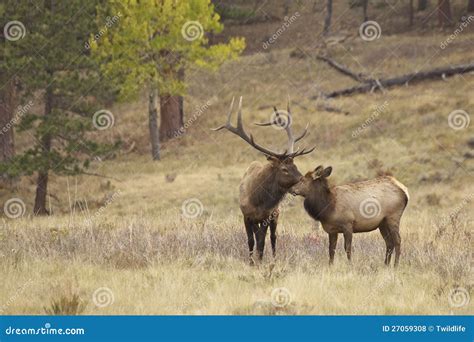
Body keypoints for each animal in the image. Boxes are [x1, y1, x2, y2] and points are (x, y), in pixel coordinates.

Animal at [214, 96, 314, 264]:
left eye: (295, 165)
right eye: (284, 169)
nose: (303, 181)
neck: (257, 200)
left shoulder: (267, 216)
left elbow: (262, 241)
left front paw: (259, 260)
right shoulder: (247, 215)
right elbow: (251, 240)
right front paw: (252, 262)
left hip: (276, 215)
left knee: (273, 238)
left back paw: (273, 258)